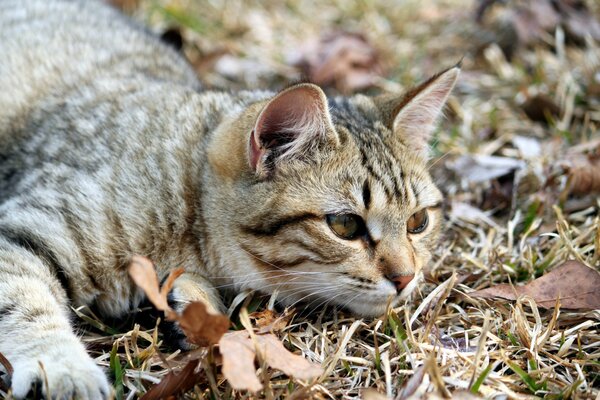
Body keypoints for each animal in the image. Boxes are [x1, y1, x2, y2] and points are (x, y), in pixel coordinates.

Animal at [1, 0, 460, 396]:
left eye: (418, 222)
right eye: (345, 225)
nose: (406, 278)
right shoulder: (23, 226)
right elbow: (23, 301)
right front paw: (63, 369)